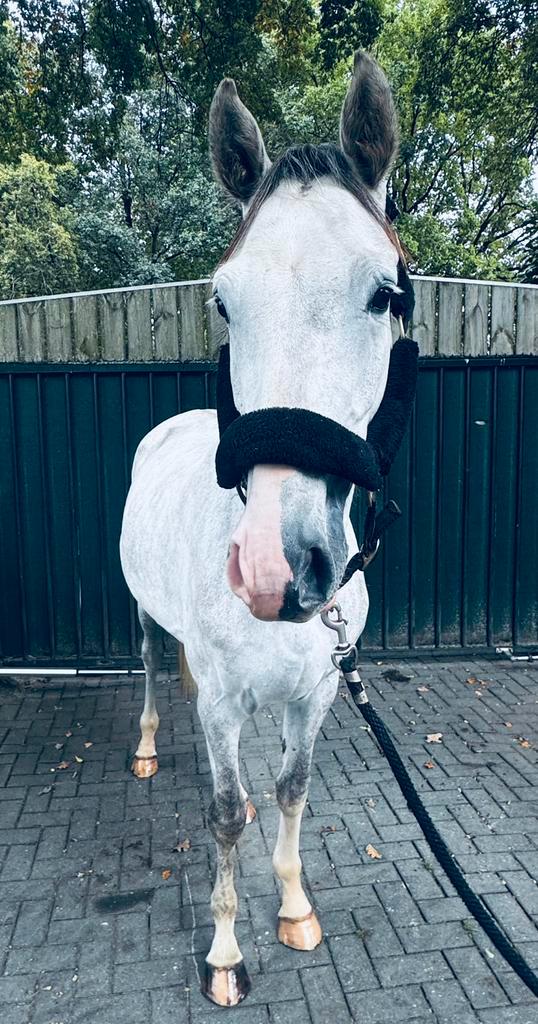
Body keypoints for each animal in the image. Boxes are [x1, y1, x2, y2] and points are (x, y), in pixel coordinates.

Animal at [120, 50, 403, 1007]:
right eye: (222, 302)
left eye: (385, 293)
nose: (278, 571)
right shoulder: (229, 707)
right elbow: (222, 816)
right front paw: (223, 954)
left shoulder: (315, 695)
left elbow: (286, 790)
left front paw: (293, 907)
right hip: (144, 619)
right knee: (149, 668)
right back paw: (145, 747)